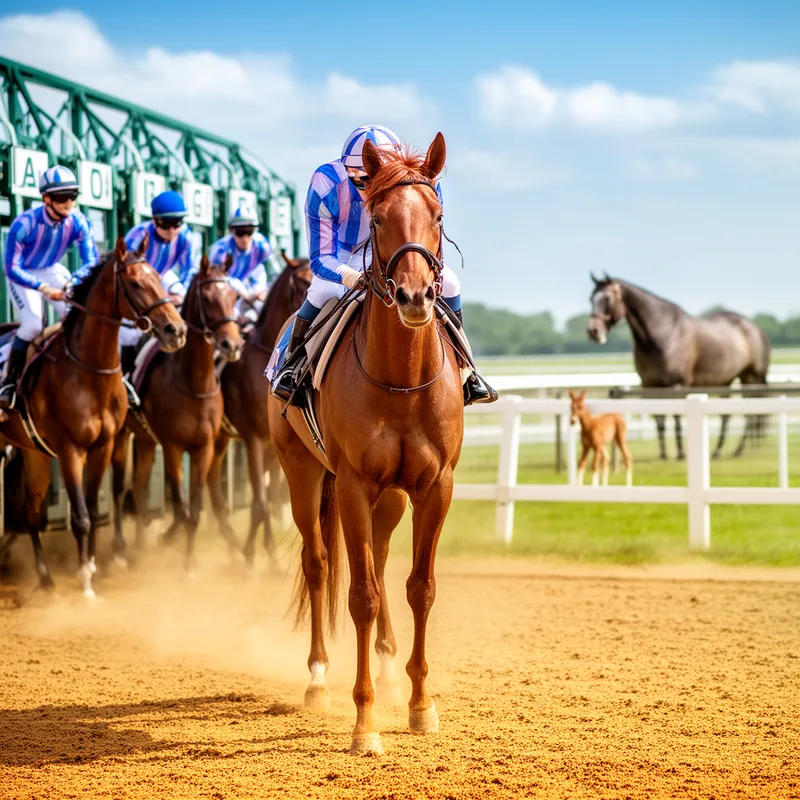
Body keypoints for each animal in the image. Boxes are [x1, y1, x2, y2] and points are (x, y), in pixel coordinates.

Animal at [0, 236, 186, 596]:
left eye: (158, 277)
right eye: (135, 283)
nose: (176, 329)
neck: (88, 371)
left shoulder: (103, 445)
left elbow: (94, 506)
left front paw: (93, 570)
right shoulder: (70, 450)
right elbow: (81, 517)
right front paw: (86, 583)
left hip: (33, 452)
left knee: (31, 508)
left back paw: (45, 577)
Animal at [109, 256, 244, 571]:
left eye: (234, 297)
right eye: (207, 298)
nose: (232, 345)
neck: (194, 383)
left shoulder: (204, 447)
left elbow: (193, 508)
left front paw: (189, 562)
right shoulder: (173, 446)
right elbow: (182, 509)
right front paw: (170, 543)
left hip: (146, 439)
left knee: (140, 485)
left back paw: (140, 547)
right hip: (121, 435)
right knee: (120, 487)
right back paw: (122, 551)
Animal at [208, 251, 311, 568]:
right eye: (301, 281)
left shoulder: (274, 444)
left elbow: (267, 495)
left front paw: (264, 551)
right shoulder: (254, 439)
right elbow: (262, 500)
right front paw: (254, 554)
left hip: (221, 439)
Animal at [267, 133, 464, 756]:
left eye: (438, 214)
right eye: (377, 219)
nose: (415, 296)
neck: (400, 379)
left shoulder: (435, 485)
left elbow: (419, 588)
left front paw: (420, 705)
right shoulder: (352, 483)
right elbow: (361, 595)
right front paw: (365, 724)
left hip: (393, 496)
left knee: (377, 555)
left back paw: (386, 664)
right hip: (302, 472)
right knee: (319, 563)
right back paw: (318, 678)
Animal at [586, 275, 771, 460]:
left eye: (607, 298)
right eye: (591, 298)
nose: (593, 331)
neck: (661, 335)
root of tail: (755, 328)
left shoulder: (677, 384)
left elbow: (676, 418)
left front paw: (681, 453)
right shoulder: (650, 385)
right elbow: (659, 419)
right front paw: (663, 454)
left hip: (750, 377)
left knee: (750, 414)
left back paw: (738, 450)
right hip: (726, 381)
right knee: (727, 415)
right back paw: (718, 451)